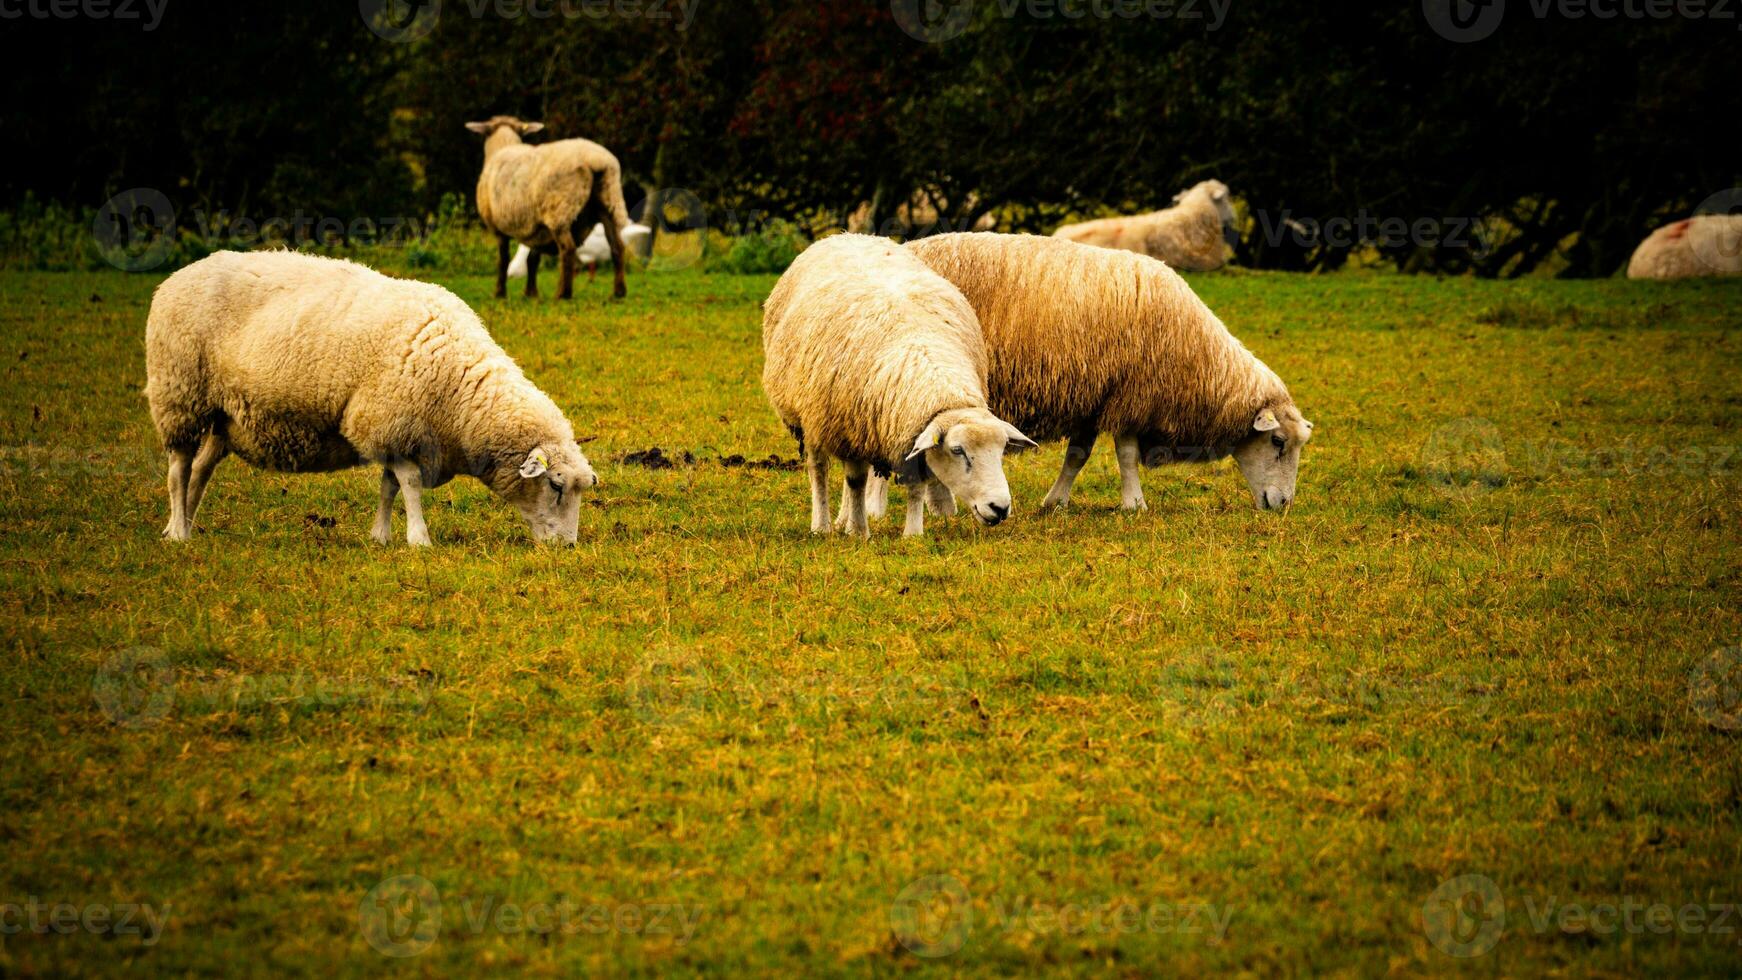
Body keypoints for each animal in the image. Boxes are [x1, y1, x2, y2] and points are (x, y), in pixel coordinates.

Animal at [466, 114, 637, 299]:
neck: (502, 145)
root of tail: (595, 160)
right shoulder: (536, 226)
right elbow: (532, 259)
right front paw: (531, 293)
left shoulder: (498, 228)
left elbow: (503, 260)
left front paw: (500, 292)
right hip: (610, 200)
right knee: (617, 246)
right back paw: (619, 291)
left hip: (560, 210)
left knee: (568, 249)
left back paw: (563, 293)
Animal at [759, 231, 1031, 536]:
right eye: (958, 450)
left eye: (1002, 449)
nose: (1000, 507)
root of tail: (845, 235)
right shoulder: (849, 426)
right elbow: (855, 481)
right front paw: (859, 532)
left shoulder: (905, 431)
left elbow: (915, 486)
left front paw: (912, 533)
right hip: (813, 418)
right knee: (819, 469)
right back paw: (823, 525)